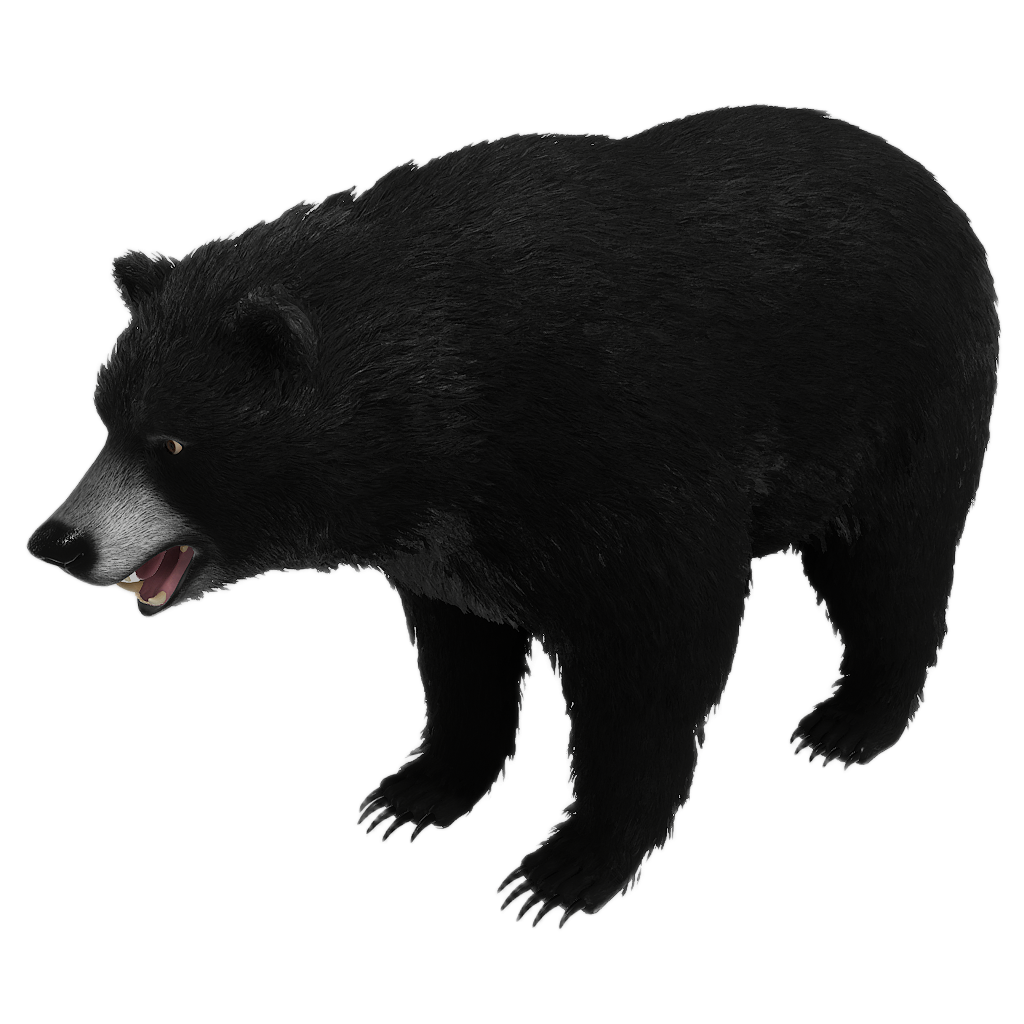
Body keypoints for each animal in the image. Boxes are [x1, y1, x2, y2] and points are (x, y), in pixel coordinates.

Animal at [25, 104, 1001, 930]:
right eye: (105, 418)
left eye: (171, 444)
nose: (57, 540)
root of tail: (935, 190)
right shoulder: (446, 541)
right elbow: (461, 651)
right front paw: (415, 794)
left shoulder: (629, 456)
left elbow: (656, 655)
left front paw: (562, 872)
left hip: (905, 405)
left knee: (892, 563)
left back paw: (851, 723)